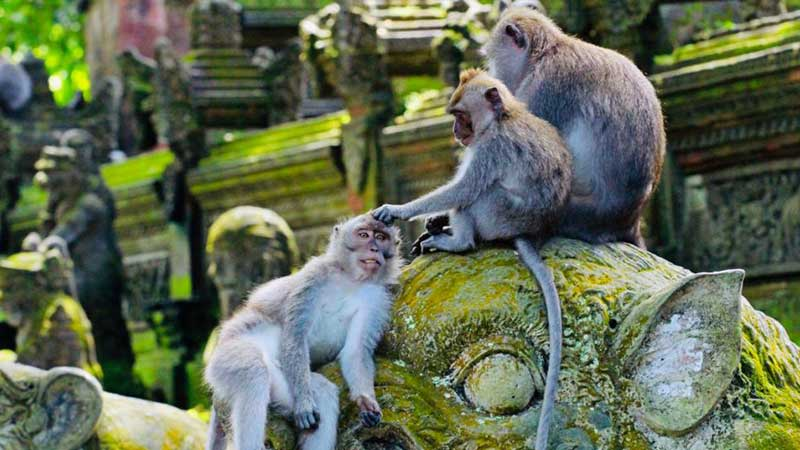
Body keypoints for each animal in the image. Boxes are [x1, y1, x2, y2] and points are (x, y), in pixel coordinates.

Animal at [204, 214, 402, 450]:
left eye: (381, 237)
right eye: (363, 234)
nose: (374, 249)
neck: (350, 280)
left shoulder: (377, 299)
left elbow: (355, 351)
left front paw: (365, 400)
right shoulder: (314, 277)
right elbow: (294, 337)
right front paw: (305, 405)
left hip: (282, 383)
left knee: (322, 391)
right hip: (227, 356)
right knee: (253, 371)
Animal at [372, 69, 570, 450]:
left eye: (461, 116)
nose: (455, 131)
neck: (502, 118)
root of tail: (530, 232)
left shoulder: (490, 149)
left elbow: (463, 189)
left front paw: (398, 210)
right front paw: (433, 220)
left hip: (498, 214)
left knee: (477, 195)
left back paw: (458, 242)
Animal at [482, 7, 665, 248]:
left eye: (492, 59)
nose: (495, 77)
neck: (545, 53)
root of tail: (629, 222)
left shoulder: (546, 87)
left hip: (574, 213)